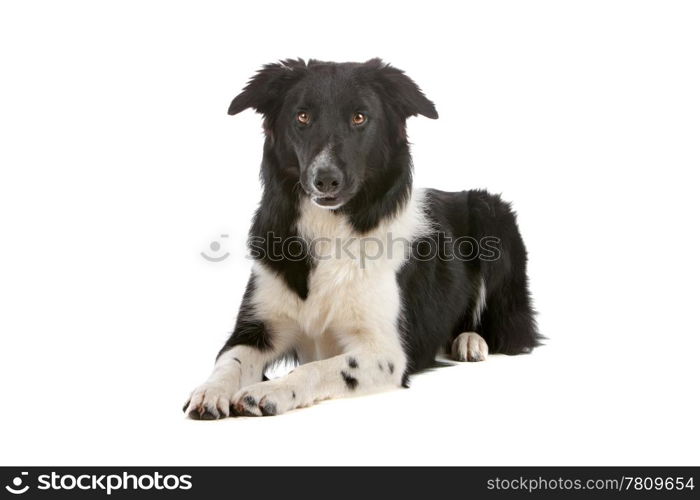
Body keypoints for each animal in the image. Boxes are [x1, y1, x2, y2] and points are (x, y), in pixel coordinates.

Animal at [183, 57, 540, 418]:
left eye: (359, 117)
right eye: (302, 116)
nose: (326, 179)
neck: (331, 228)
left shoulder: (386, 353)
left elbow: (315, 368)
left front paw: (271, 390)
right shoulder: (256, 327)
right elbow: (228, 361)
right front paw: (210, 391)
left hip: (491, 215)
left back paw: (470, 341)